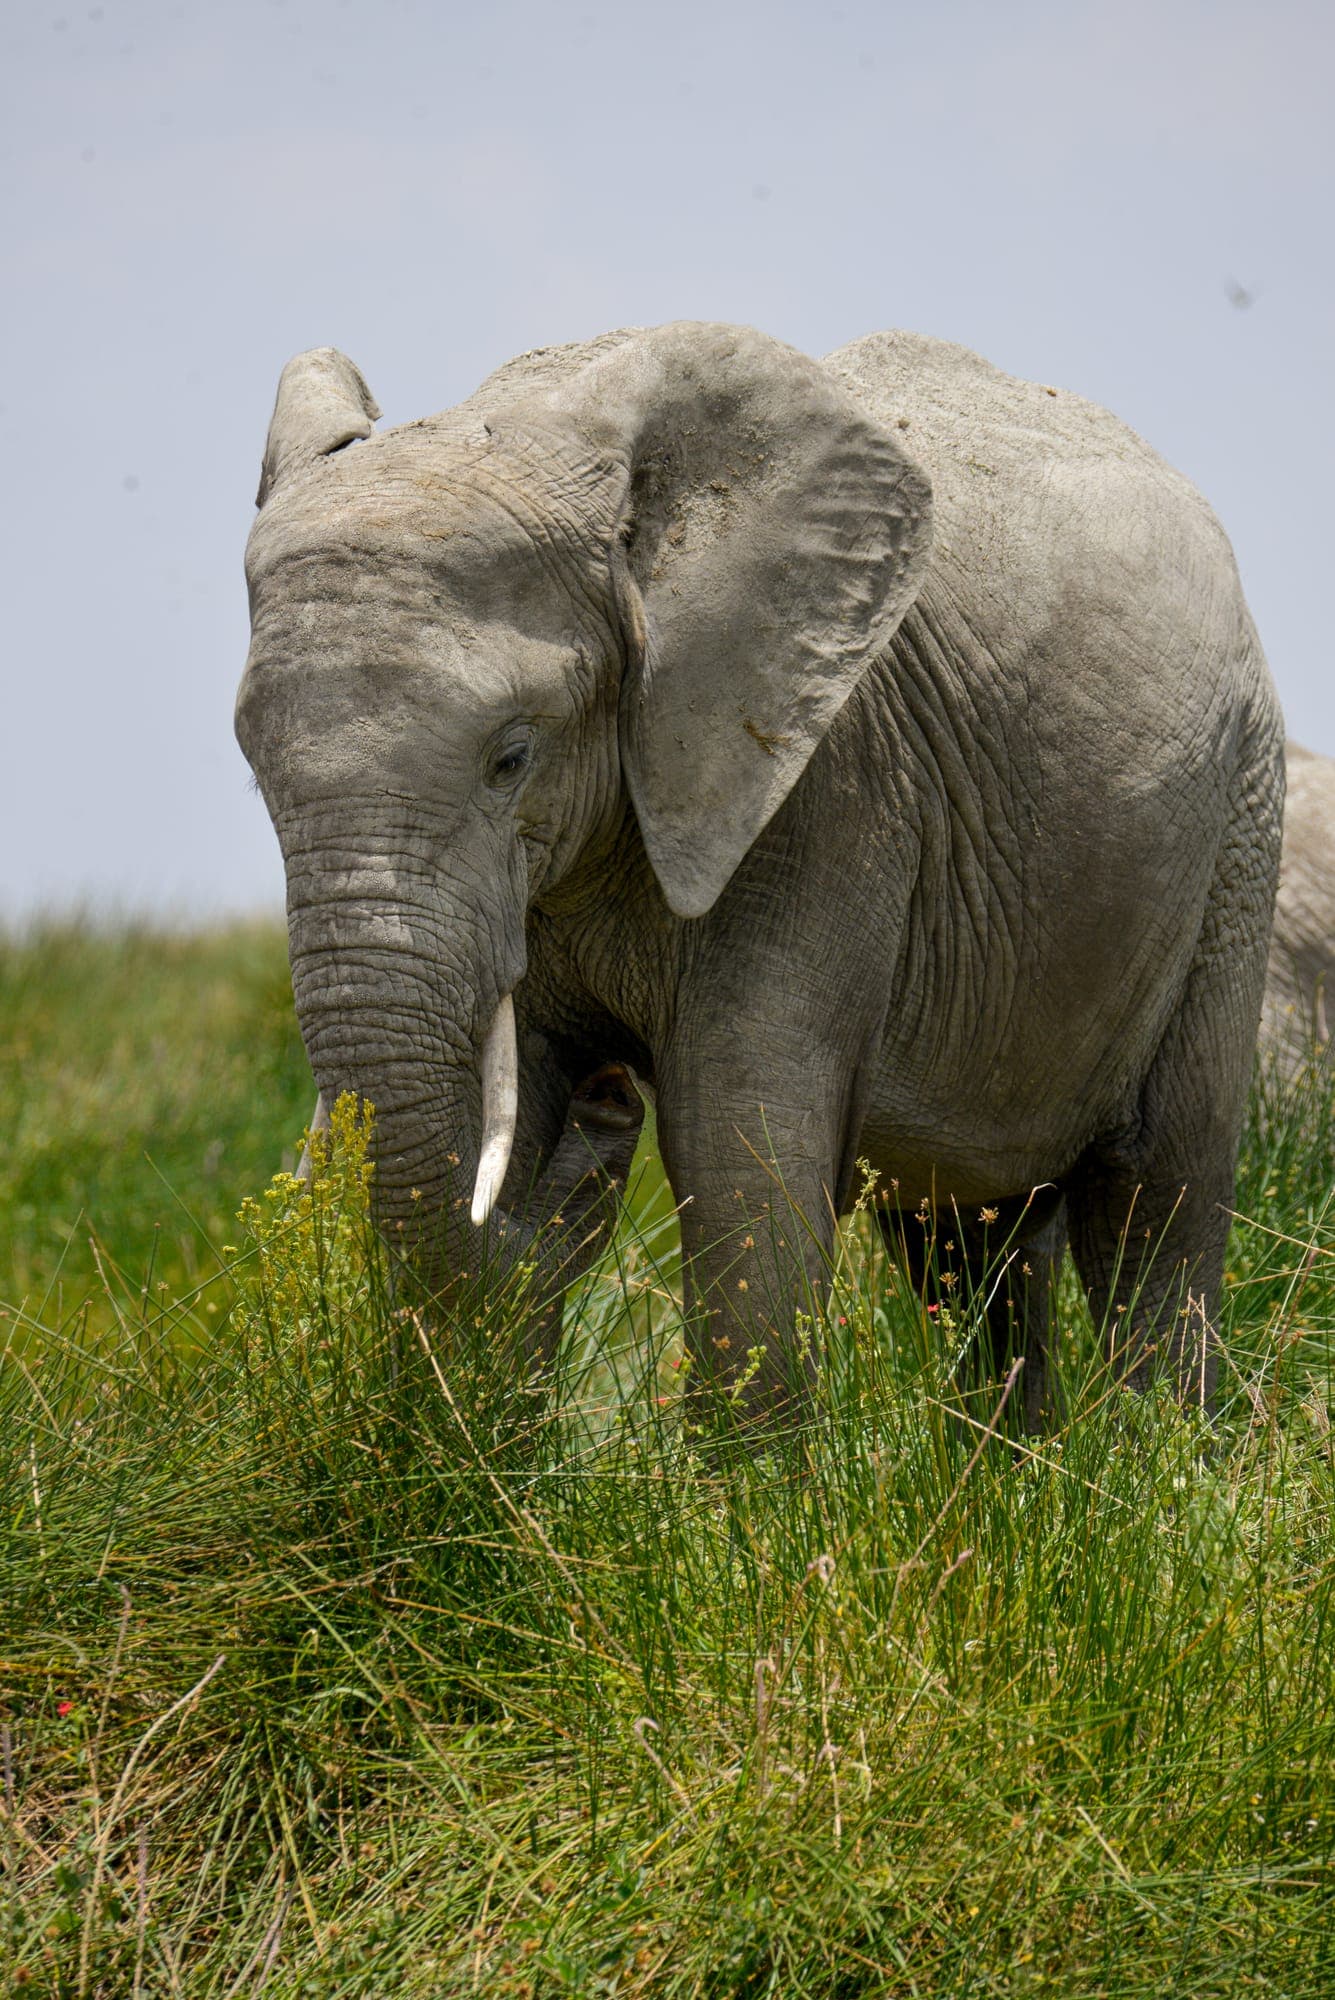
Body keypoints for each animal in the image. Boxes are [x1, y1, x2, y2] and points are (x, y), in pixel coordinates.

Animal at [236, 322, 1284, 1430]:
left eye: (511, 756)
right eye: (253, 763)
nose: (610, 1113)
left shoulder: (827, 790)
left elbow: (737, 1137)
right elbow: (518, 1108)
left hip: (1236, 823)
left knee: (1157, 1192)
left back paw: (1160, 1459)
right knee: (970, 1238)